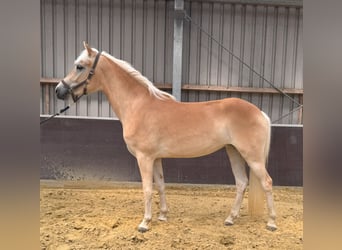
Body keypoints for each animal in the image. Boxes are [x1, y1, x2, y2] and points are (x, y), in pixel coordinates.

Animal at [54, 41, 276, 232]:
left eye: (79, 66)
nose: (59, 90)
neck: (138, 105)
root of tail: (259, 112)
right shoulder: (156, 158)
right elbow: (160, 184)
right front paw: (162, 215)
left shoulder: (144, 157)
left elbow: (147, 188)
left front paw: (145, 222)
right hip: (234, 152)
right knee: (241, 183)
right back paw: (230, 218)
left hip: (252, 157)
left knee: (266, 182)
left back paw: (272, 222)